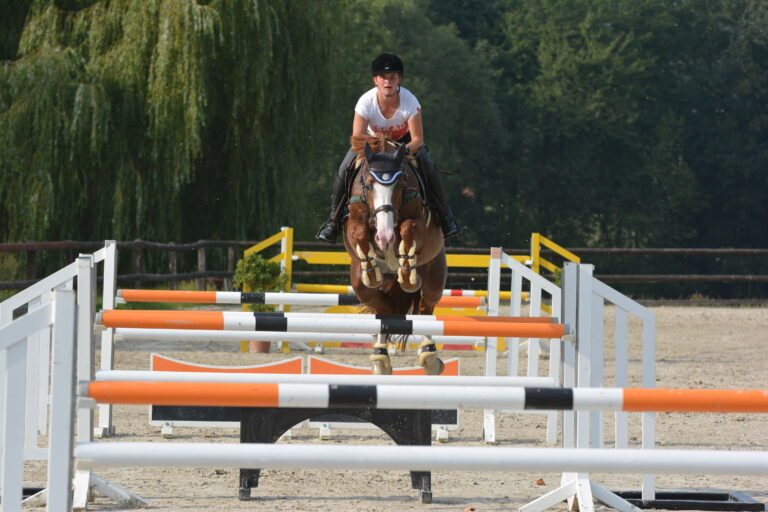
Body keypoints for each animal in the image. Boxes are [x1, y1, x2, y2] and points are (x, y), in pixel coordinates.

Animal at [344, 135, 450, 376]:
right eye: (368, 184)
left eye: (401, 184)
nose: (385, 237)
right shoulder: (354, 220)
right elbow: (359, 231)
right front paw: (372, 265)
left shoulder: (419, 221)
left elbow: (408, 228)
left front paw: (407, 272)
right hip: (360, 284)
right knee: (384, 310)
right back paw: (380, 359)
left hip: (434, 277)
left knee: (424, 309)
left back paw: (429, 356)